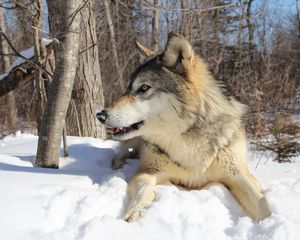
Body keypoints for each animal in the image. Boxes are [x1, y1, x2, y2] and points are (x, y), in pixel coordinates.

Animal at [96, 32, 272, 223]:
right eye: (128, 89)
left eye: (143, 87)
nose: (100, 115)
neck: (186, 137)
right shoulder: (147, 171)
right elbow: (143, 191)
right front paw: (133, 213)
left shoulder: (239, 173)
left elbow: (261, 203)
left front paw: (271, 221)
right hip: (132, 141)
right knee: (119, 154)